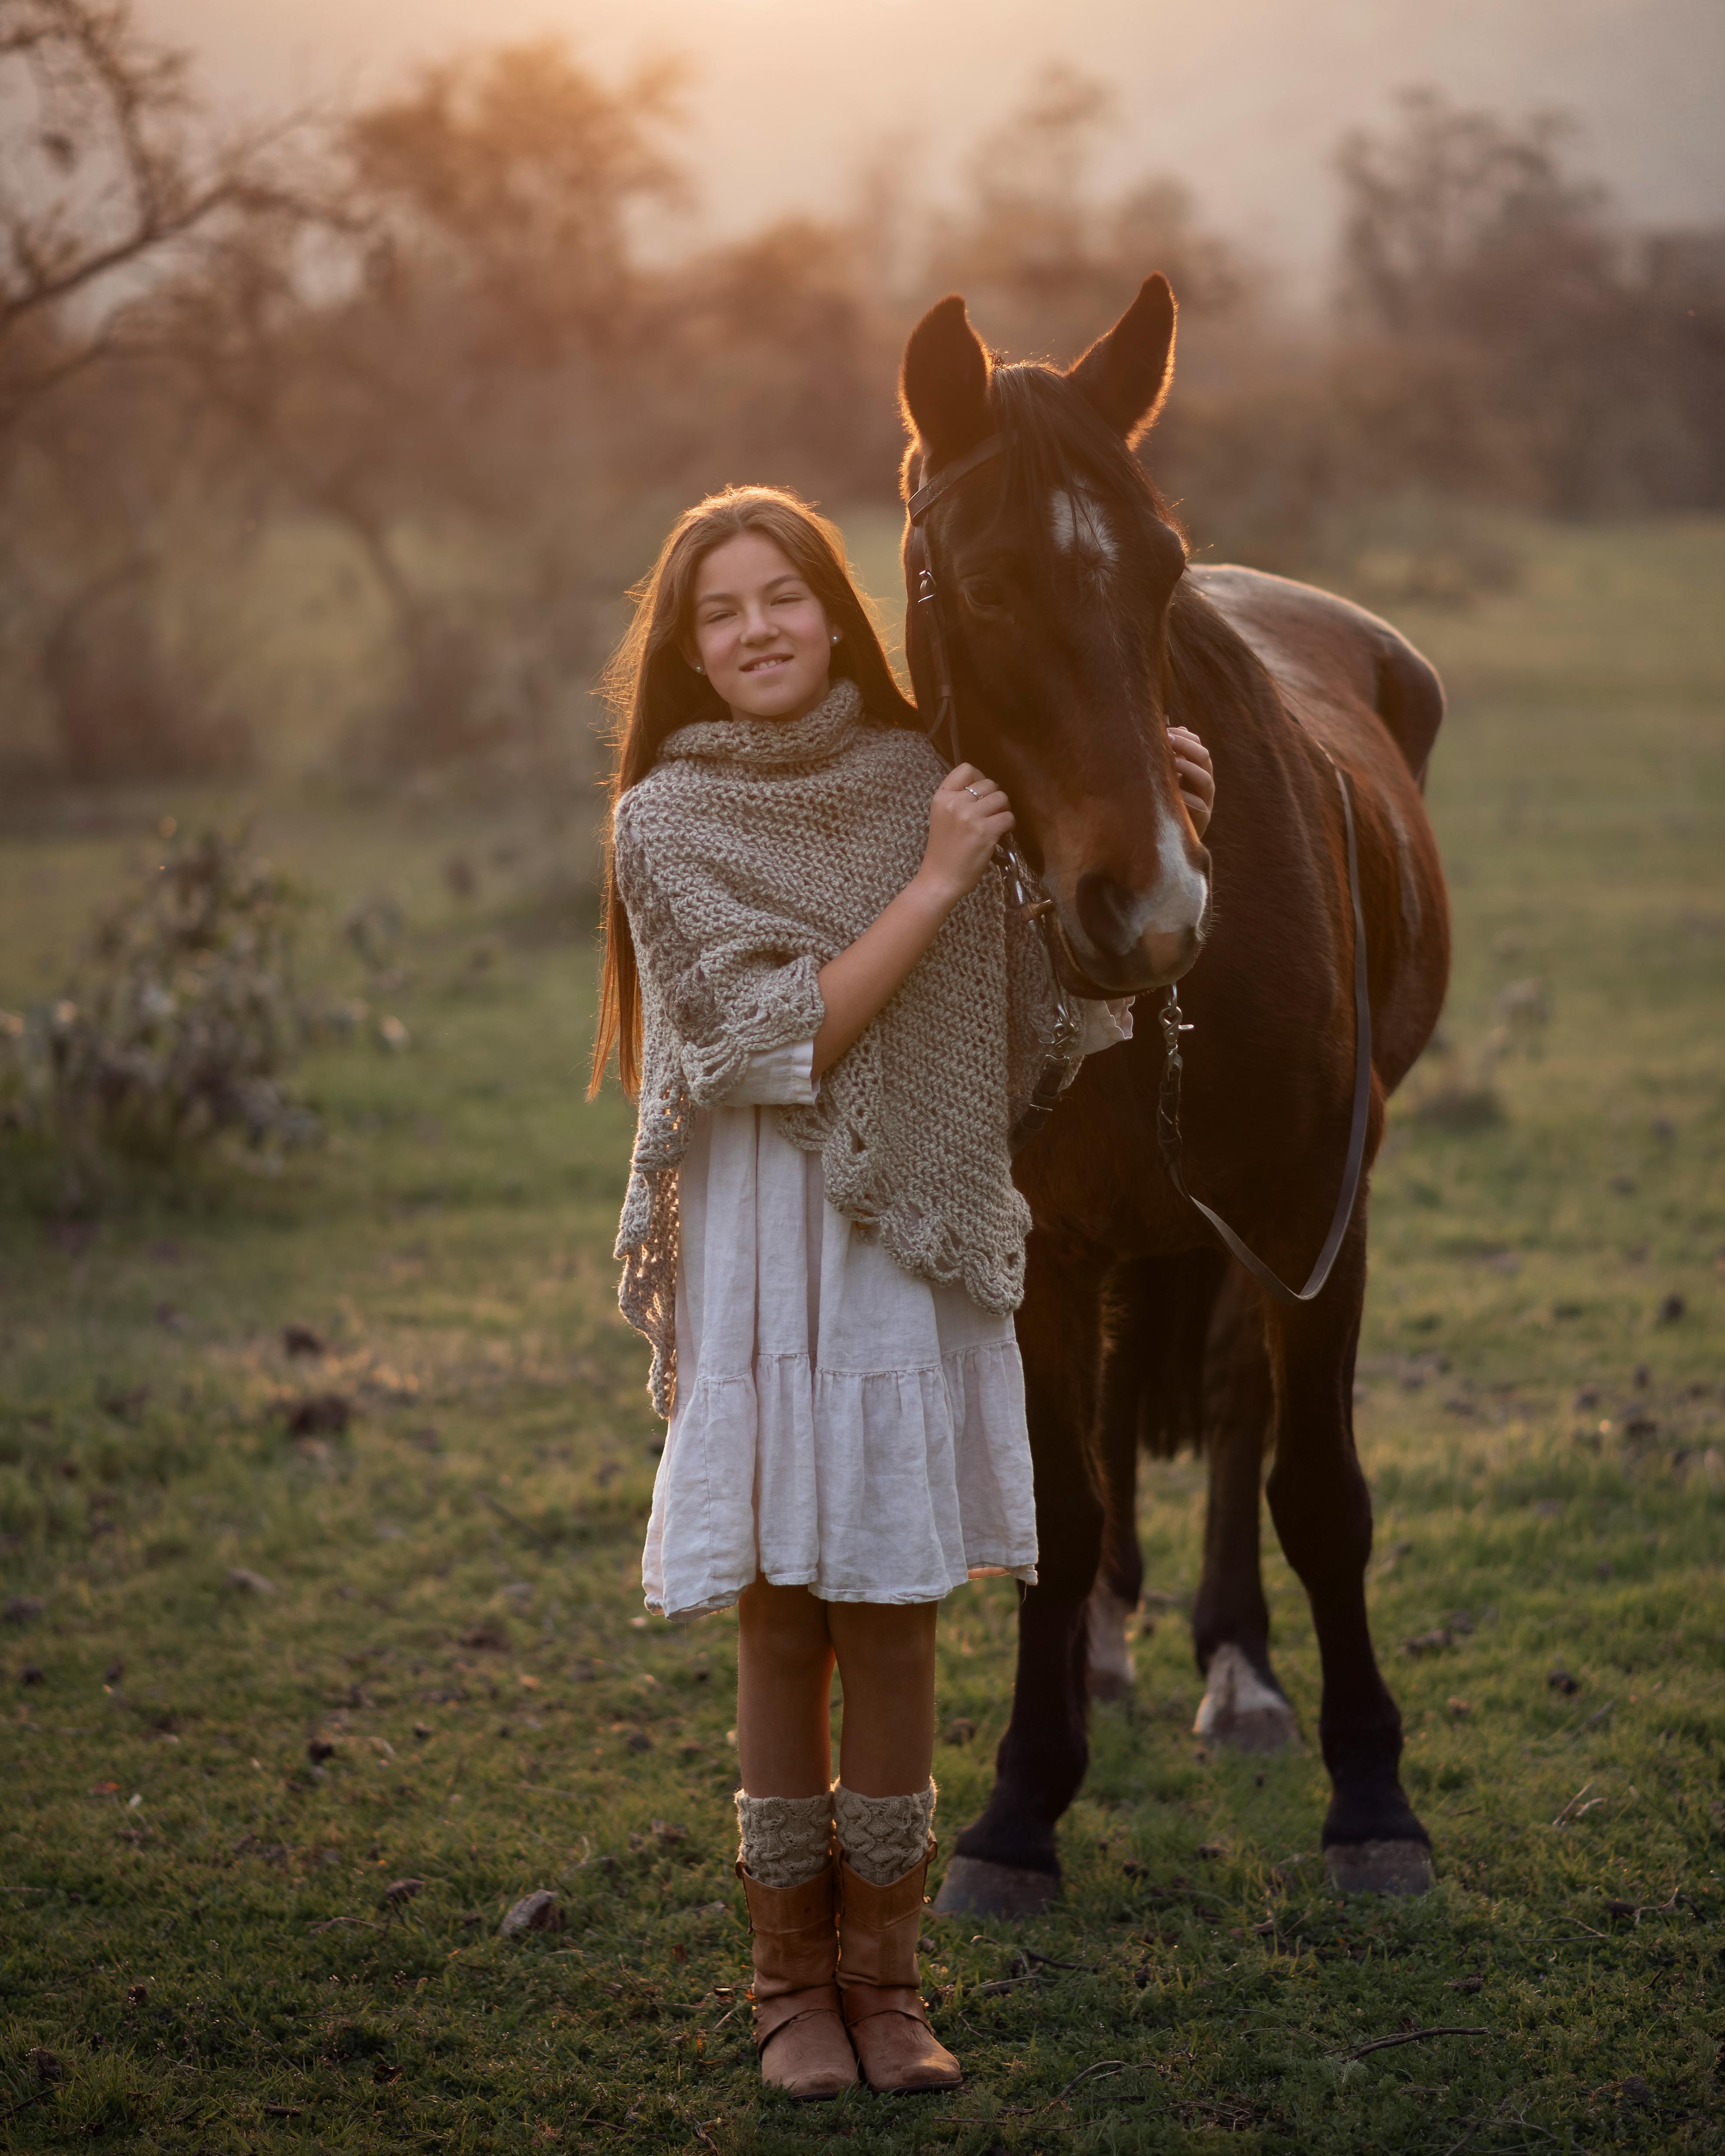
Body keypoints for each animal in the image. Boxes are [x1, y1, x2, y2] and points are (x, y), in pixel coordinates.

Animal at [897, 278, 1449, 1914]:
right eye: (979, 584)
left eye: (1163, 567)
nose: (1147, 910)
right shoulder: (1041, 1236)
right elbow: (1063, 1504)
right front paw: (1020, 1805)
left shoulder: (1316, 1214)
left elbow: (1316, 1490)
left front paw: (1372, 1797)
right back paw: (1108, 1652)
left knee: (1232, 1404)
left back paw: (1238, 1672)